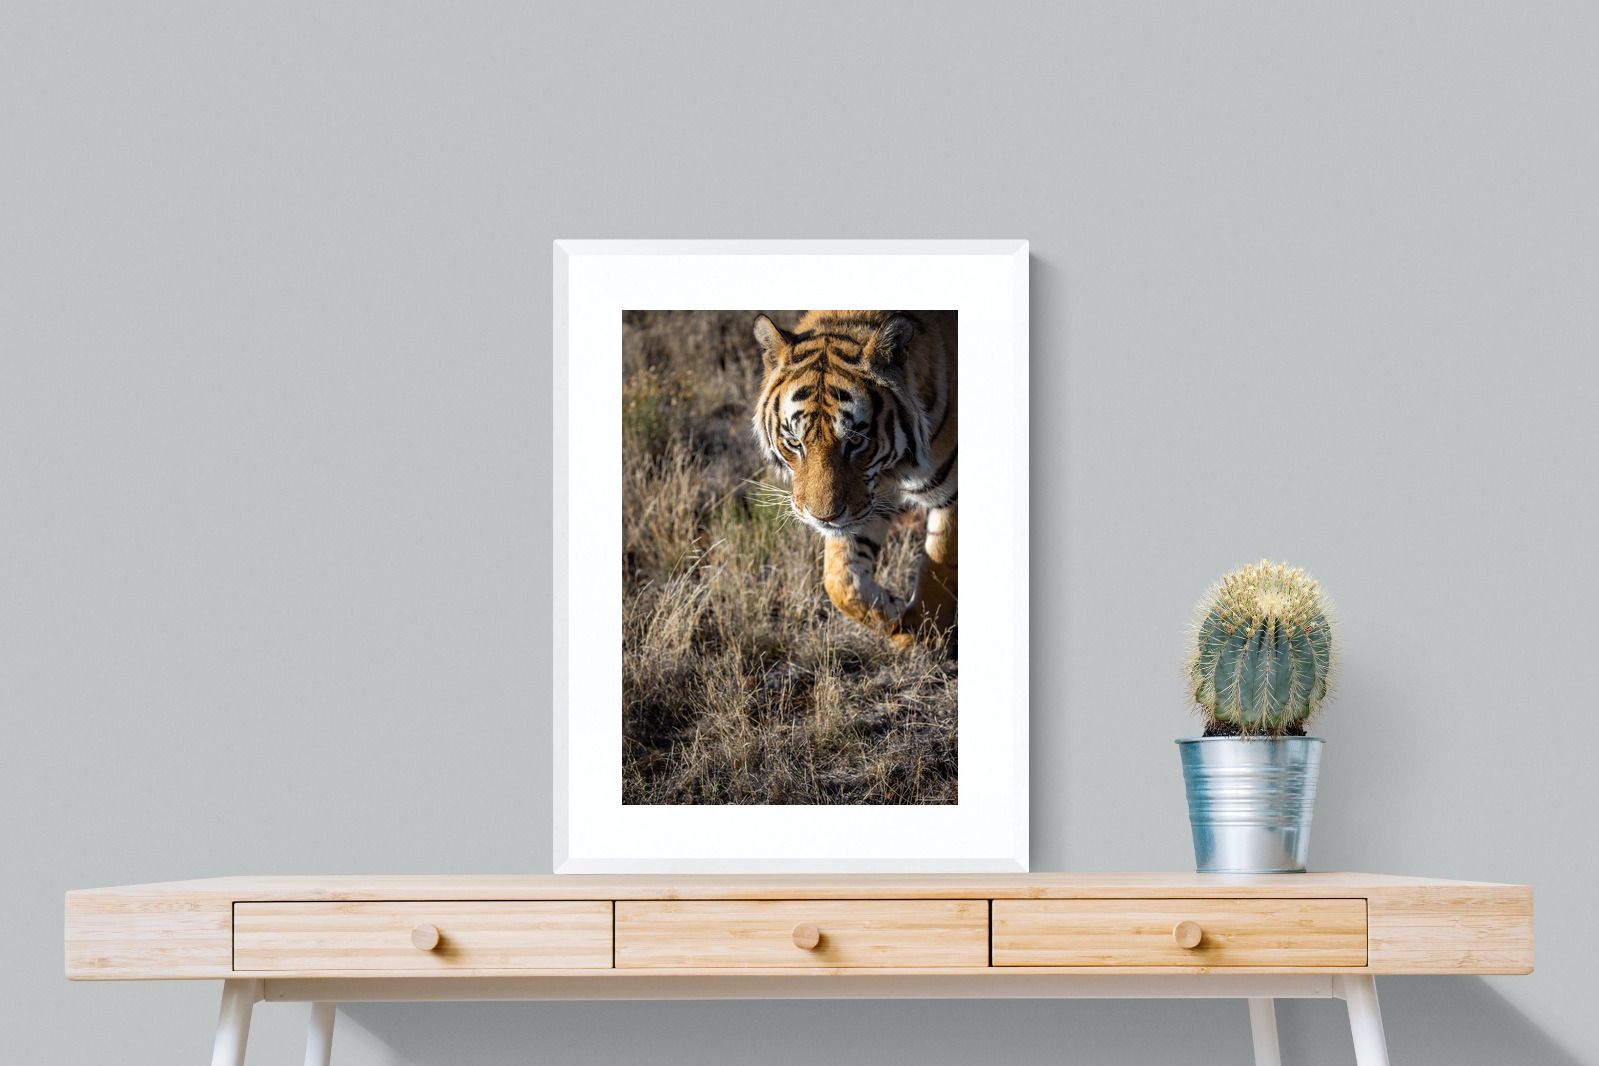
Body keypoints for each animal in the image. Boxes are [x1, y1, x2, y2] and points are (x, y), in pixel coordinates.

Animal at [751, 310, 957, 648]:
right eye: (795, 442)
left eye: (856, 441)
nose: (822, 518)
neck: (892, 469)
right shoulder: (866, 503)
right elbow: (840, 580)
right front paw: (894, 615)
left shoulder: (951, 495)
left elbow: (938, 565)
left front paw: (925, 635)